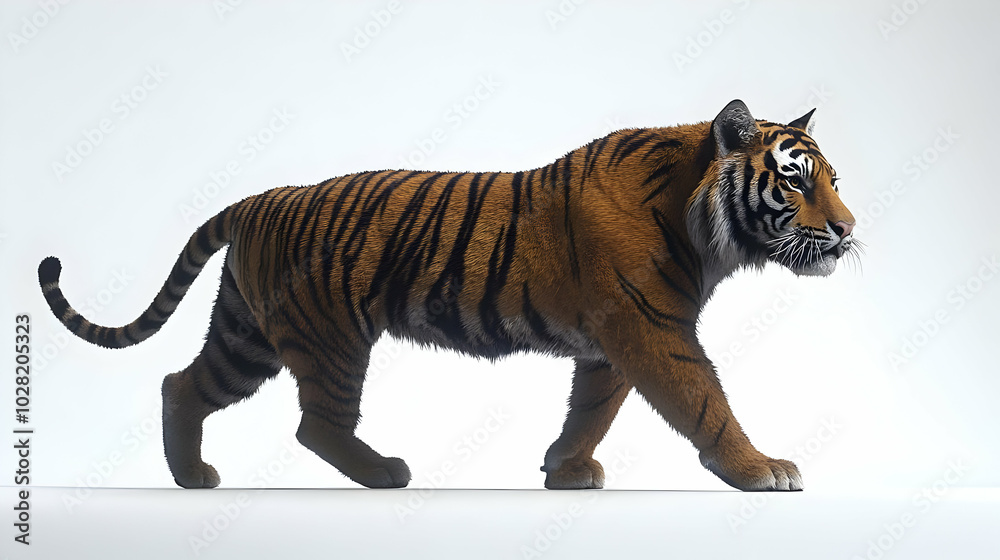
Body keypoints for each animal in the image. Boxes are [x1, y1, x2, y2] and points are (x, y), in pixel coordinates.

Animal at [38, 99, 858, 491]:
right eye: (794, 180)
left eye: (833, 179)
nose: (849, 229)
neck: (701, 224)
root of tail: (256, 199)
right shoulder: (651, 328)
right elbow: (705, 402)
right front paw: (761, 470)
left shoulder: (611, 344)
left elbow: (592, 410)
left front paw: (565, 468)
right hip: (328, 337)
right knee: (314, 424)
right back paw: (383, 473)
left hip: (247, 335)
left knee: (182, 385)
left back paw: (191, 478)